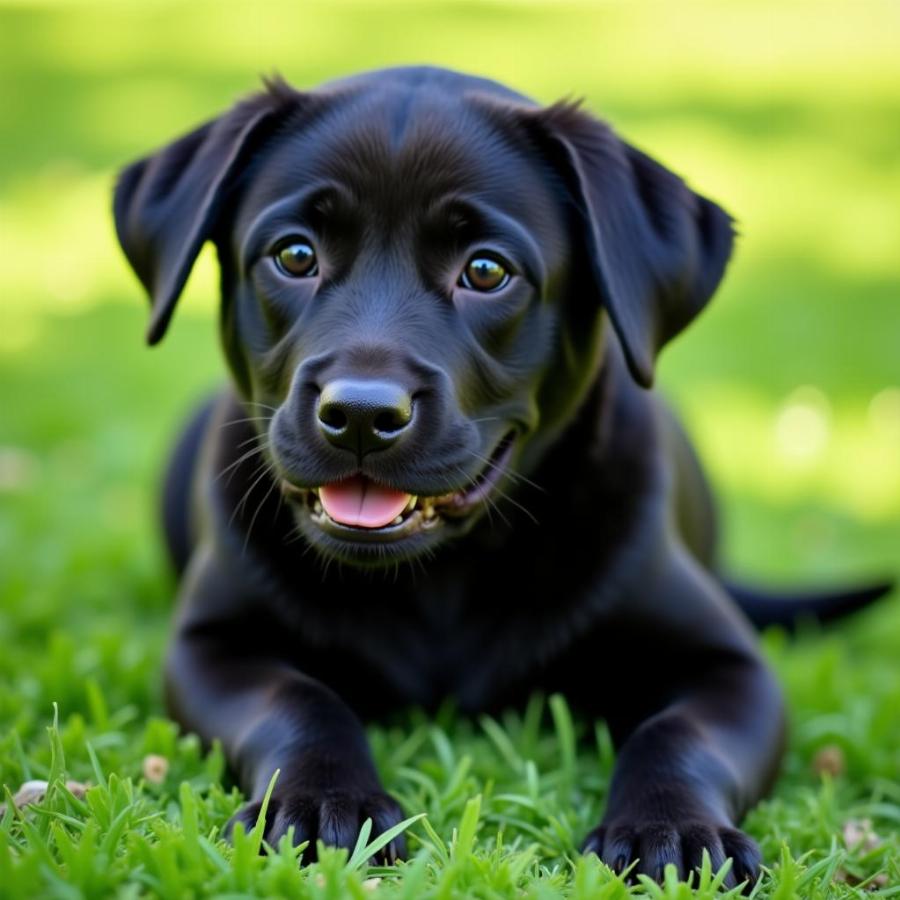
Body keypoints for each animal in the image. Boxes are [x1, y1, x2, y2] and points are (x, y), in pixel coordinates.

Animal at [110, 68, 884, 884]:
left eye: (486, 271)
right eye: (294, 256)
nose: (360, 414)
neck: (441, 579)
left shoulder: (731, 667)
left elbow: (678, 737)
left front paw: (670, 829)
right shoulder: (211, 645)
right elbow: (297, 699)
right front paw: (322, 803)